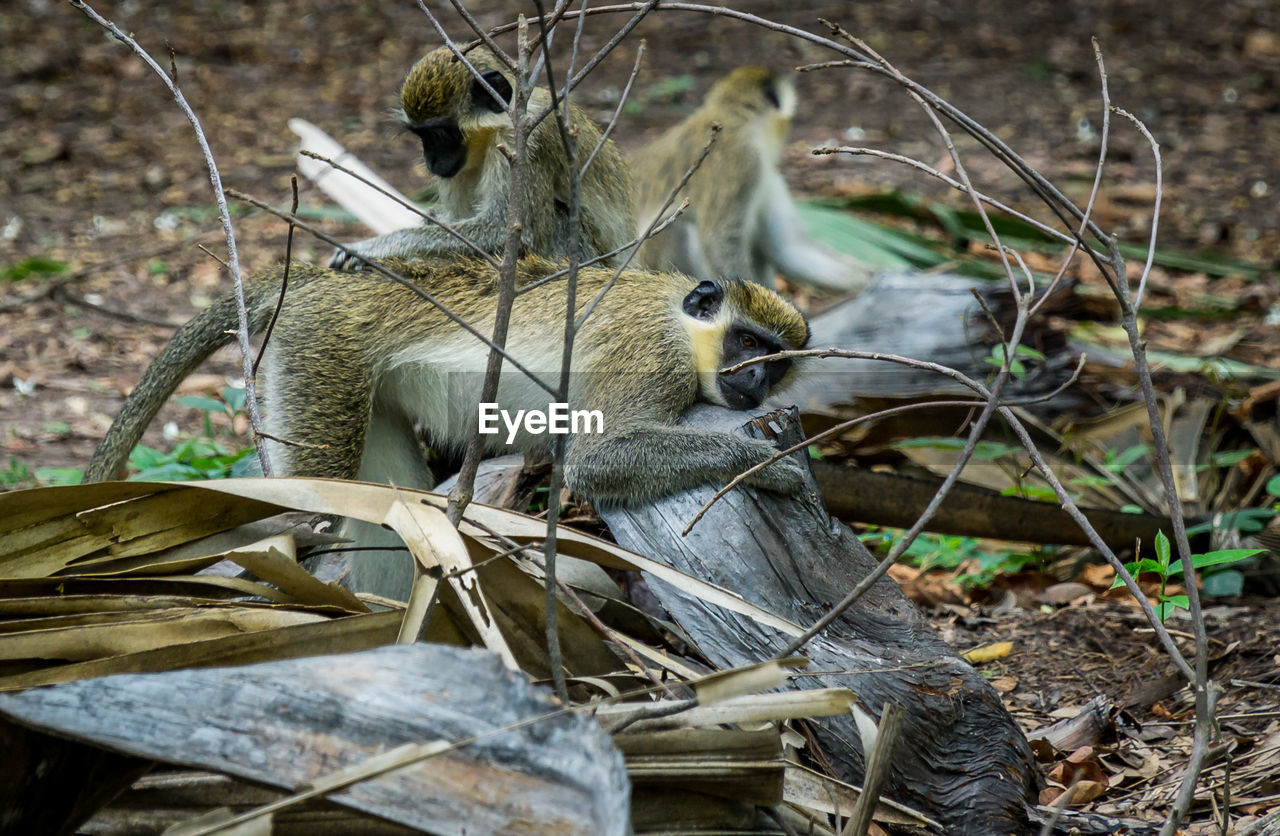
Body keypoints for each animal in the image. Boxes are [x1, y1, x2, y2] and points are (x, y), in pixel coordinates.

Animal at [327, 42, 632, 267]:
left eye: (440, 134)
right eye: (420, 136)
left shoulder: (526, 143)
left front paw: (375, 248)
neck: (493, 131)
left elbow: (508, 233)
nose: (432, 161)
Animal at [629, 68, 870, 297]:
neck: (734, 121)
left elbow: (791, 249)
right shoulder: (744, 162)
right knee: (675, 227)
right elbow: (720, 241)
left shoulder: (767, 176)